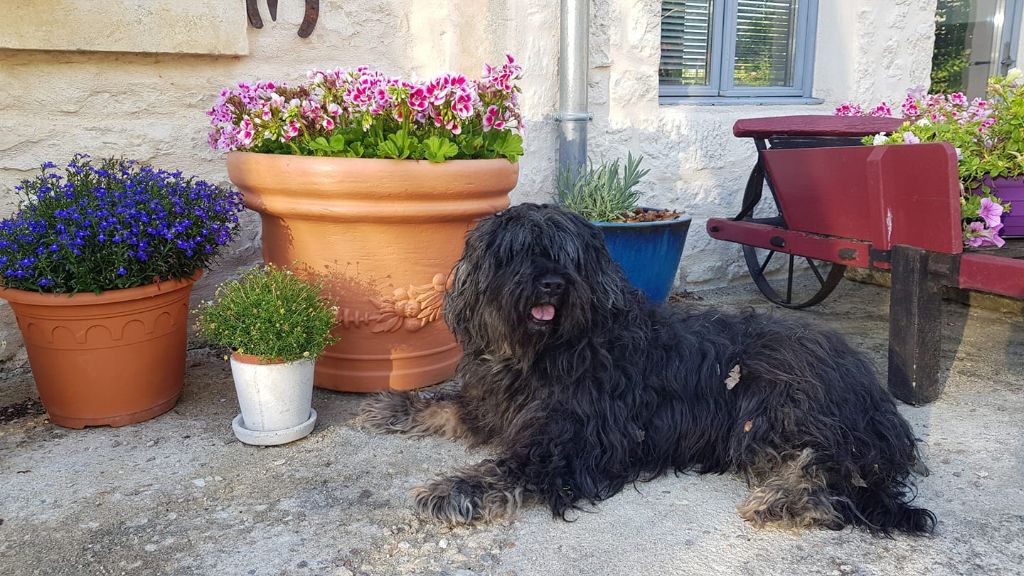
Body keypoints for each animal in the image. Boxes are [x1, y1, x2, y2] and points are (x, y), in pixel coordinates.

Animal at [362, 202, 937, 532]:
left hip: (776, 400)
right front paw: (394, 407)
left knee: (831, 473)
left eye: (567, 256)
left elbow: (510, 467)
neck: (549, 350)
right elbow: (449, 405)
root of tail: (875, 398)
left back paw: (788, 501)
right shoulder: (493, 405)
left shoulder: (574, 440)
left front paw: (452, 490)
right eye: (518, 252)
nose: (551, 284)